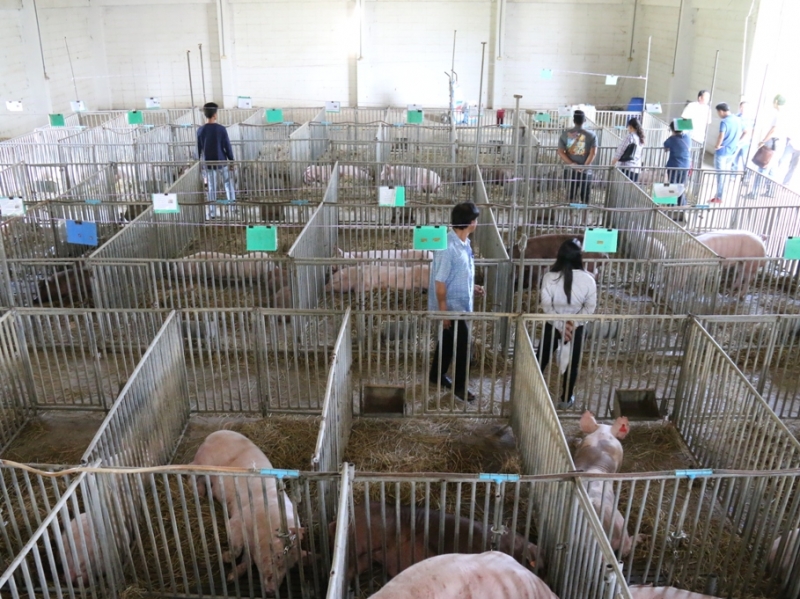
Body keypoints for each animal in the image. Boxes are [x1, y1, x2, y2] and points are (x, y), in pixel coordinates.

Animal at [190, 430, 305, 596]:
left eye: (291, 566)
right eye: (277, 556)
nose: (272, 590)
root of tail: (213, 434)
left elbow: (248, 561)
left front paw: (232, 576)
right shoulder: (237, 521)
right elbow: (237, 547)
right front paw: (226, 558)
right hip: (203, 461)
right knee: (191, 471)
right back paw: (197, 494)